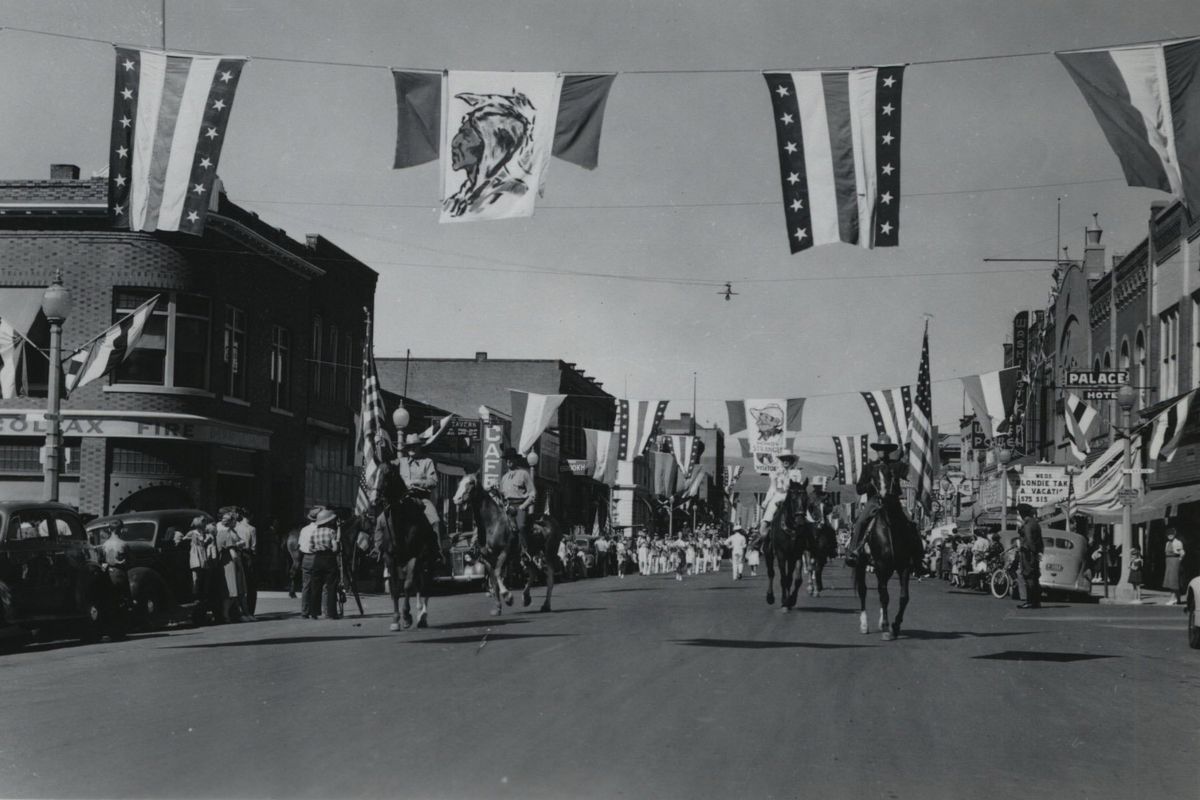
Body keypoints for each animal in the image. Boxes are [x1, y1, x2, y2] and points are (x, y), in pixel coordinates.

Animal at [374, 462, 441, 633]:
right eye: (375, 473)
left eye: (388, 474)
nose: (375, 499)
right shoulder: (390, 558)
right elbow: (395, 589)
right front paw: (396, 619)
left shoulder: (414, 557)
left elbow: (407, 586)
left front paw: (406, 617)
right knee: (419, 585)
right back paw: (418, 613)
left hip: (429, 561)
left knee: (425, 587)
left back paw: (422, 617)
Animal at [453, 472, 561, 618]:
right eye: (459, 482)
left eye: (471, 483)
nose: (456, 499)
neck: (492, 524)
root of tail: (550, 519)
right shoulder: (487, 559)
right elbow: (493, 580)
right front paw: (497, 608)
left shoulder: (504, 552)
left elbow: (498, 573)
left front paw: (508, 597)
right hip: (527, 556)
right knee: (533, 572)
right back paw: (526, 597)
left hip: (548, 555)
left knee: (549, 578)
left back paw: (546, 605)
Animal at [763, 482, 811, 614]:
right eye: (793, 499)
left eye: (806, 498)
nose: (800, 520)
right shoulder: (781, 555)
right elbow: (784, 578)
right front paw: (784, 601)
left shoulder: (797, 554)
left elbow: (796, 579)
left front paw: (791, 601)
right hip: (769, 552)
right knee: (771, 573)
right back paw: (770, 597)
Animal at [854, 491, 916, 642]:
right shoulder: (881, 566)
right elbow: (884, 597)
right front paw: (887, 628)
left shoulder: (904, 567)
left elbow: (903, 597)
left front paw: (895, 625)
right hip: (861, 565)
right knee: (863, 591)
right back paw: (864, 625)